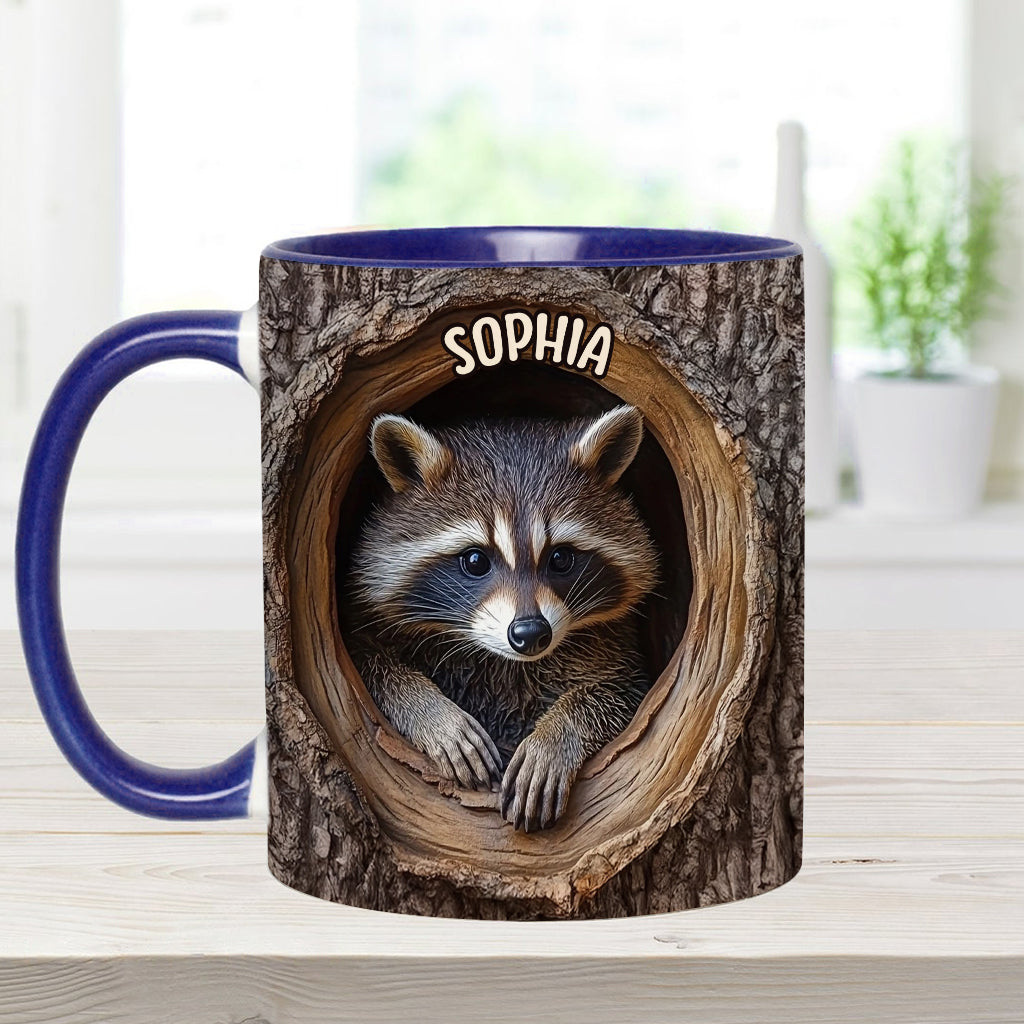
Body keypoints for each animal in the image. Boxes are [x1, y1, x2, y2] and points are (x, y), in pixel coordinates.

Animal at [345, 405, 658, 832]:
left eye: (561, 558)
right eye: (476, 560)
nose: (530, 632)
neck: (504, 660)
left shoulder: (612, 648)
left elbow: (618, 693)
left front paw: (556, 735)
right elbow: (371, 664)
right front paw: (433, 712)